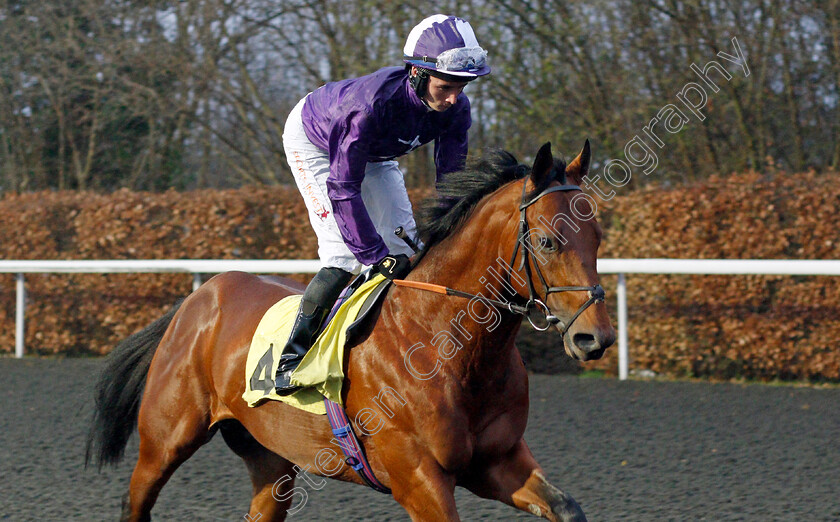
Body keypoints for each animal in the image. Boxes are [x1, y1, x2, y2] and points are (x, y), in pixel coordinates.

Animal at [87, 140, 616, 516]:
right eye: (548, 241)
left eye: (597, 236)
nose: (596, 337)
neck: (448, 347)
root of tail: (200, 297)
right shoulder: (419, 478)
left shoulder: (498, 462)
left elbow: (568, 507)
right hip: (164, 440)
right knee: (136, 500)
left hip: (269, 457)